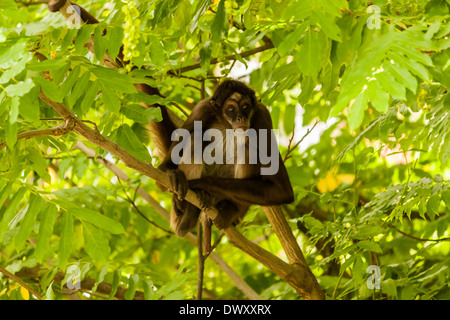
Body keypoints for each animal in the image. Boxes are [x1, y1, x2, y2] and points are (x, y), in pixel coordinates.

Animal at [153, 80, 296, 238]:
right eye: (231, 109)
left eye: (245, 106)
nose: (241, 117)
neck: (228, 126)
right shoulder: (201, 110)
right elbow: (164, 170)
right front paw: (174, 176)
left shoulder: (262, 115)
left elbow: (282, 191)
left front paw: (201, 183)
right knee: (196, 137)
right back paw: (186, 210)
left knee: (247, 147)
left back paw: (228, 208)